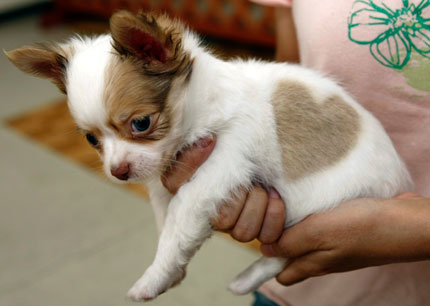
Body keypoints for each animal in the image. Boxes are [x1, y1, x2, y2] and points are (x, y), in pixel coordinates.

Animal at [5, 11, 410, 302]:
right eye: (91, 139)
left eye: (141, 123)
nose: (119, 172)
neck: (201, 112)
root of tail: (401, 181)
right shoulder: (163, 184)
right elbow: (165, 222)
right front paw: (172, 272)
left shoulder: (219, 170)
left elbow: (178, 224)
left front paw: (153, 279)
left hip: (315, 209)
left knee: (283, 254)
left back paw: (245, 280)